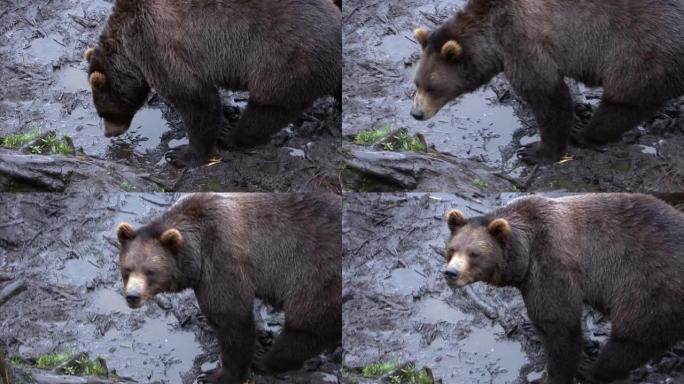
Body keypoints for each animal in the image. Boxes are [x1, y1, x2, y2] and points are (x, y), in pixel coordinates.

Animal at [85, 0, 342, 168]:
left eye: (103, 112)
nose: (109, 133)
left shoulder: (157, 45)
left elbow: (195, 98)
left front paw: (181, 155)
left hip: (283, 62)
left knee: (267, 109)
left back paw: (232, 136)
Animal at [117, 194, 344, 382]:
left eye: (150, 271)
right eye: (127, 268)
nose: (133, 296)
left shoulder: (222, 259)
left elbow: (232, 319)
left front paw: (216, 375)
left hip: (316, 274)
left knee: (306, 325)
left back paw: (267, 360)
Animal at [412, 0, 684, 164]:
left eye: (432, 86)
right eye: (416, 83)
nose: (416, 113)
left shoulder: (522, 42)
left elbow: (547, 94)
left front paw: (534, 151)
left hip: (640, 55)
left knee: (622, 103)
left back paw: (585, 133)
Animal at [440, 194, 684, 384]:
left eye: (474, 254)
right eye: (452, 249)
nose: (451, 273)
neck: (525, 251)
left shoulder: (552, 263)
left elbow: (559, 324)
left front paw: (552, 375)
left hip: (651, 286)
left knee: (632, 339)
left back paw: (595, 370)